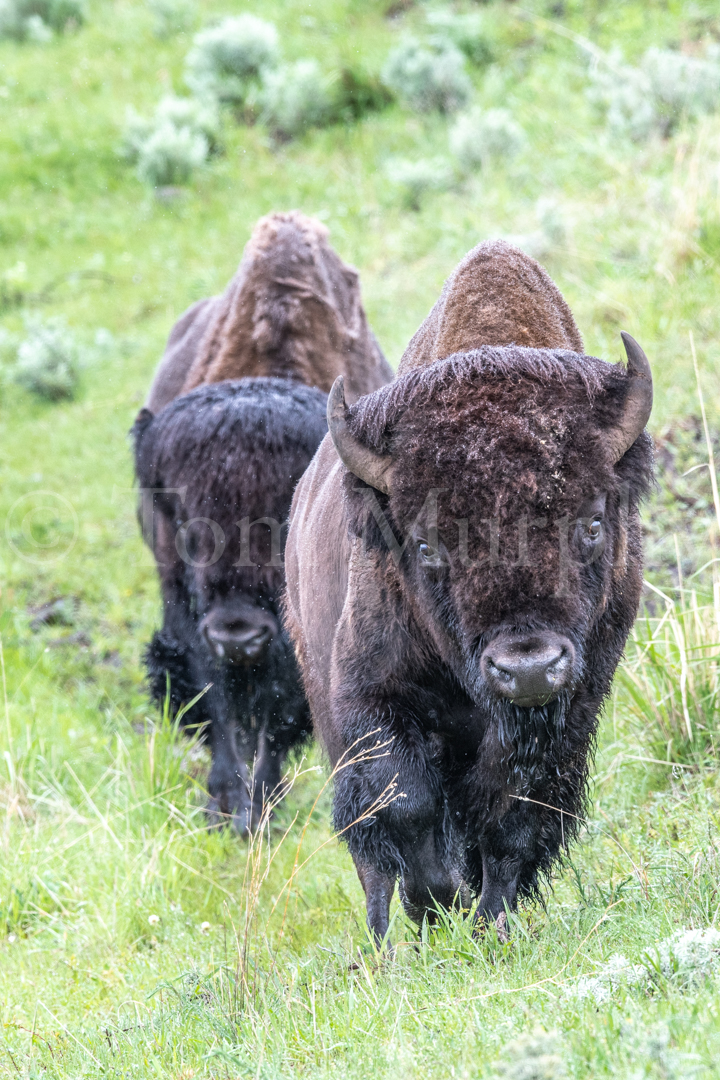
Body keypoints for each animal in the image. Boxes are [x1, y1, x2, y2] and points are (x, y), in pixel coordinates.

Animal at [134, 212, 395, 833]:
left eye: (284, 522)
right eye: (186, 523)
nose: (239, 632)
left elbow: (280, 706)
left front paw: (261, 804)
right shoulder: (186, 608)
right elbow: (217, 696)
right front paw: (226, 804)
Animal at [284, 240, 656, 941]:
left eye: (592, 523)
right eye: (427, 545)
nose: (527, 666)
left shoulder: (566, 714)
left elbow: (513, 817)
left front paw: (491, 923)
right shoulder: (374, 699)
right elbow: (405, 806)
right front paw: (440, 904)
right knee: (371, 858)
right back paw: (383, 943)